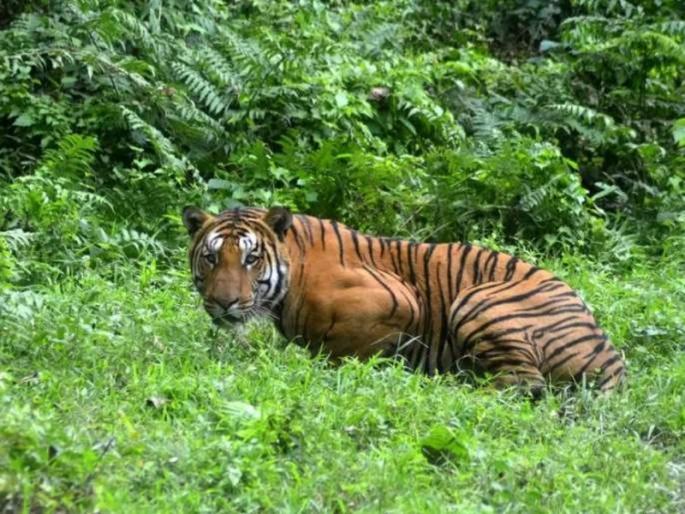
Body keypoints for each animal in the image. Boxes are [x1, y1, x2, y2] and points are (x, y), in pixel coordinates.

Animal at [182, 205, 625, 394]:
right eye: (211, 257)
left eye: (251, 258)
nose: (223, 302)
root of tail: (610, 356)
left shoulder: (400, 300)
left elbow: (342, 350)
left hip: (477, 299)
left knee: (524, 383)